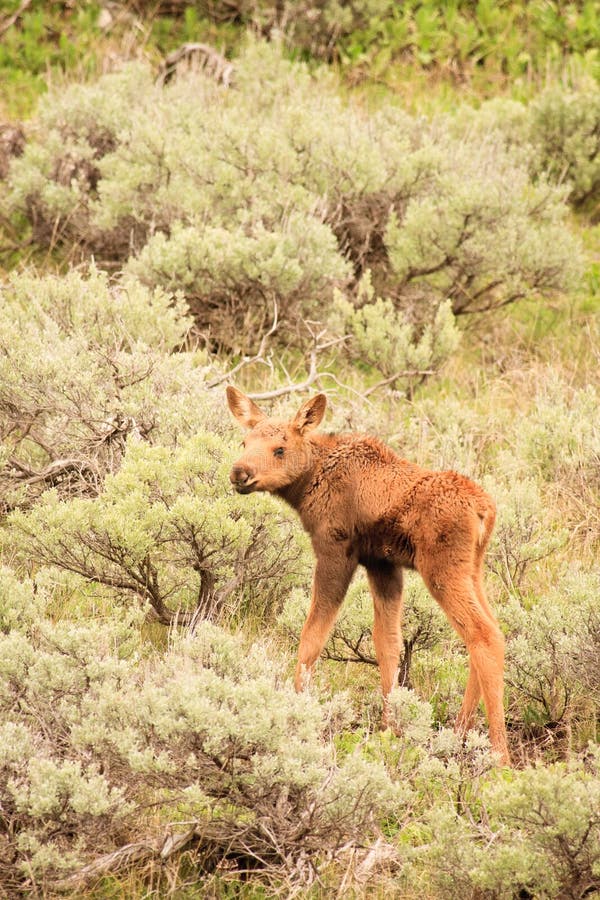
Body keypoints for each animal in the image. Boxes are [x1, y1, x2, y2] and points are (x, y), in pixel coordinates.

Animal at [226, 386, 511, 765]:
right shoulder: (382, 565)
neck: (307, 486)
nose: (239, 472)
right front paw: (390, 727)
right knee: (491, 629)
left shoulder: (335, 551)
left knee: (483, 635)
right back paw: (458, 733)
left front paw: (297, 709)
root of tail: (485, 512)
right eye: (244, 441)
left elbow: (311, 637)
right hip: (472, 568)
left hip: (442, 568)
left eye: (280, 449)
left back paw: (498, 755)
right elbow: (387, 643)